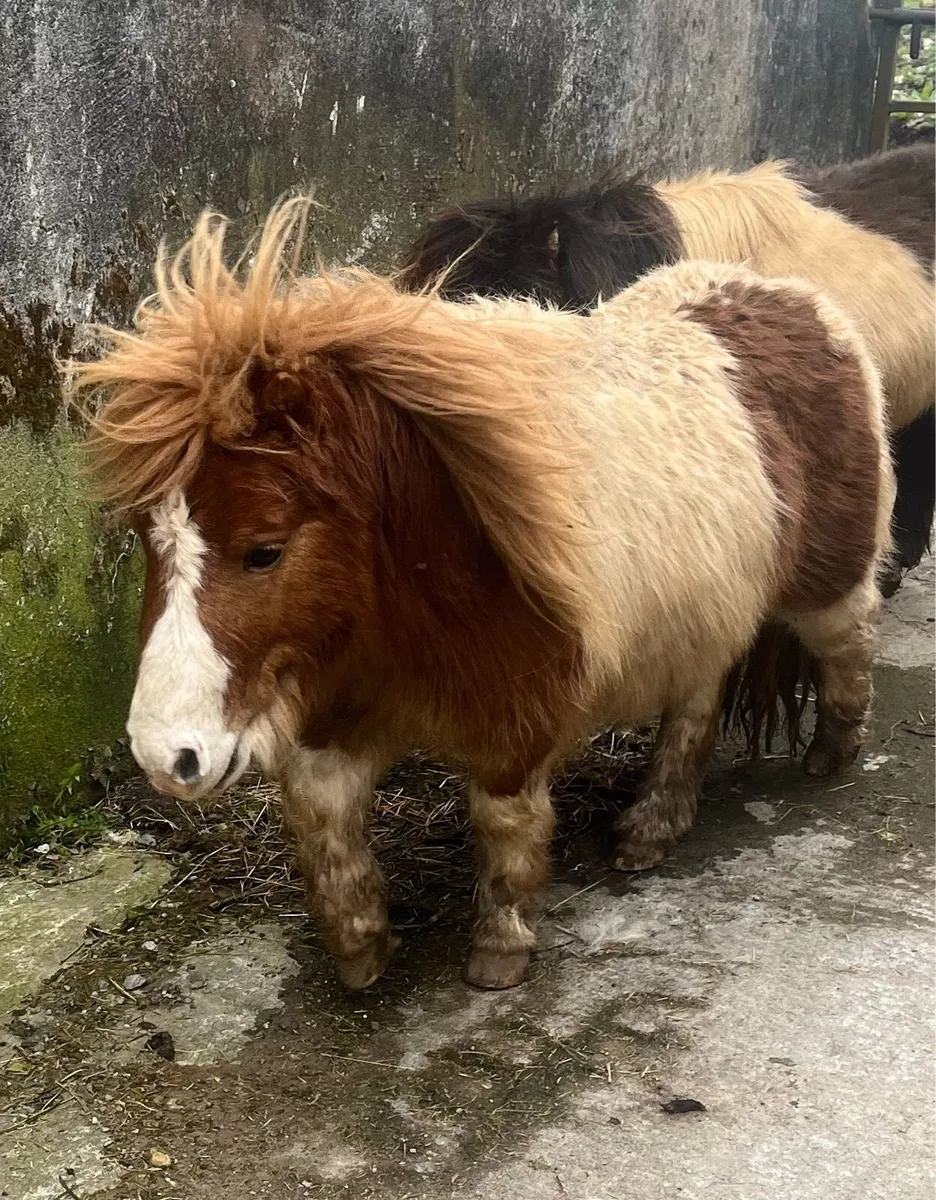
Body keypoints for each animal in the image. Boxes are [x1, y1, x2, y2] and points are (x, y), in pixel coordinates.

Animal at [72, 199, 894, 992]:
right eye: (148, 540)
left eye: (264, 549)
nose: (166, 757)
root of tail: (794, 300)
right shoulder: (346, 708)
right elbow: (322, 818)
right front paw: (360, 946)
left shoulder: (517, 712)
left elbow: (505, 822)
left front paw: (501, 948)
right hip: (700, 619)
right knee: (694, 709)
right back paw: (650, 829)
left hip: (827, 583)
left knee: (847, 644)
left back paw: (832, 754)